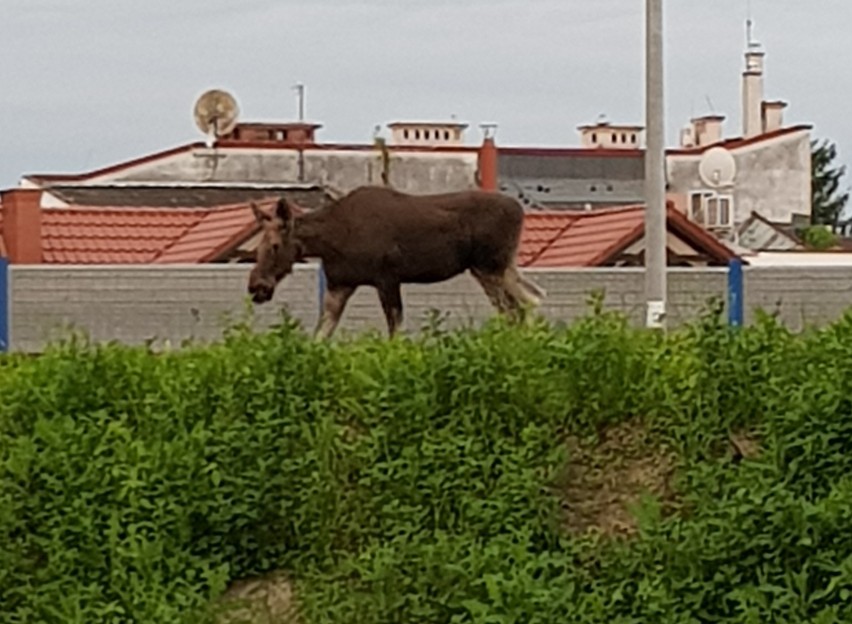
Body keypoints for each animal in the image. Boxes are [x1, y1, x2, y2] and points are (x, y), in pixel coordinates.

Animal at [248, 185, 544, 338]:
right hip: (492, 269)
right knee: (520, 304)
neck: (331, 240)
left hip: (491, 266)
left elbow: (395, 331)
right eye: (256, 248)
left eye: (274, 246)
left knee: (528, 302)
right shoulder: (339, 284)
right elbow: (320, 336)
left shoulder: (387, 278)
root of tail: (520, 211)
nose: (256, 286)